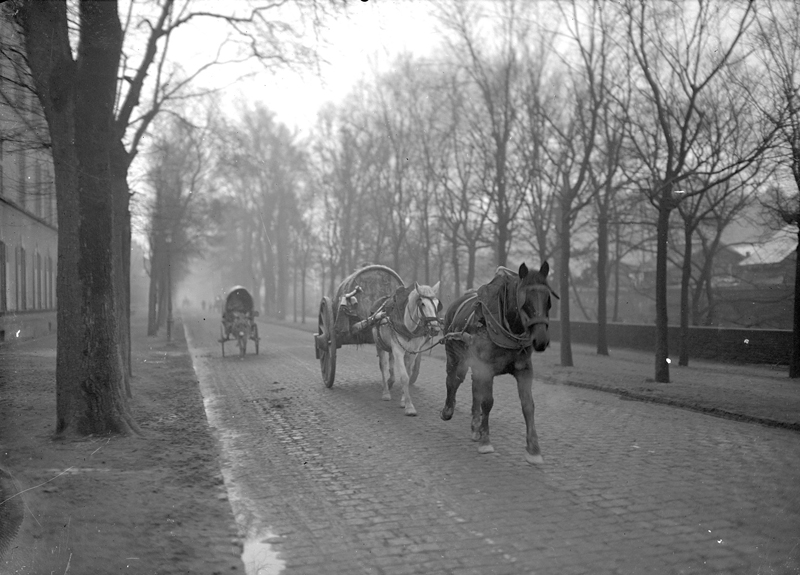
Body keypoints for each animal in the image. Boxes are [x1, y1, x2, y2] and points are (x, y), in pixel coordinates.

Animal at [370, 282, 440, 414]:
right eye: (422, 303)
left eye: (437, 304)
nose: (435, 329)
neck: (408, 327)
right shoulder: (398, 351)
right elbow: (404, 377)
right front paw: (409, 406)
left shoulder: (412, 352)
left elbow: (408, 373)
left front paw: (403, 401)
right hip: (379, 345)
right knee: (384, 366)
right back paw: (386, 392)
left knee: (391, 364)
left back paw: (391, 381)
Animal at [440, 264, 552, 466]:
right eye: (524, 300)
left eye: (548, 299)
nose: (541, 340)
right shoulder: (487, 369)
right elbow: (488, 402)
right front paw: (485, 441)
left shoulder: (524, 370)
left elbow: (528, 405)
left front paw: (534, 450)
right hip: (455, 355)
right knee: (453, 380)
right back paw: (448, 410)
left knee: (474, 388)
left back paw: (475, 426)